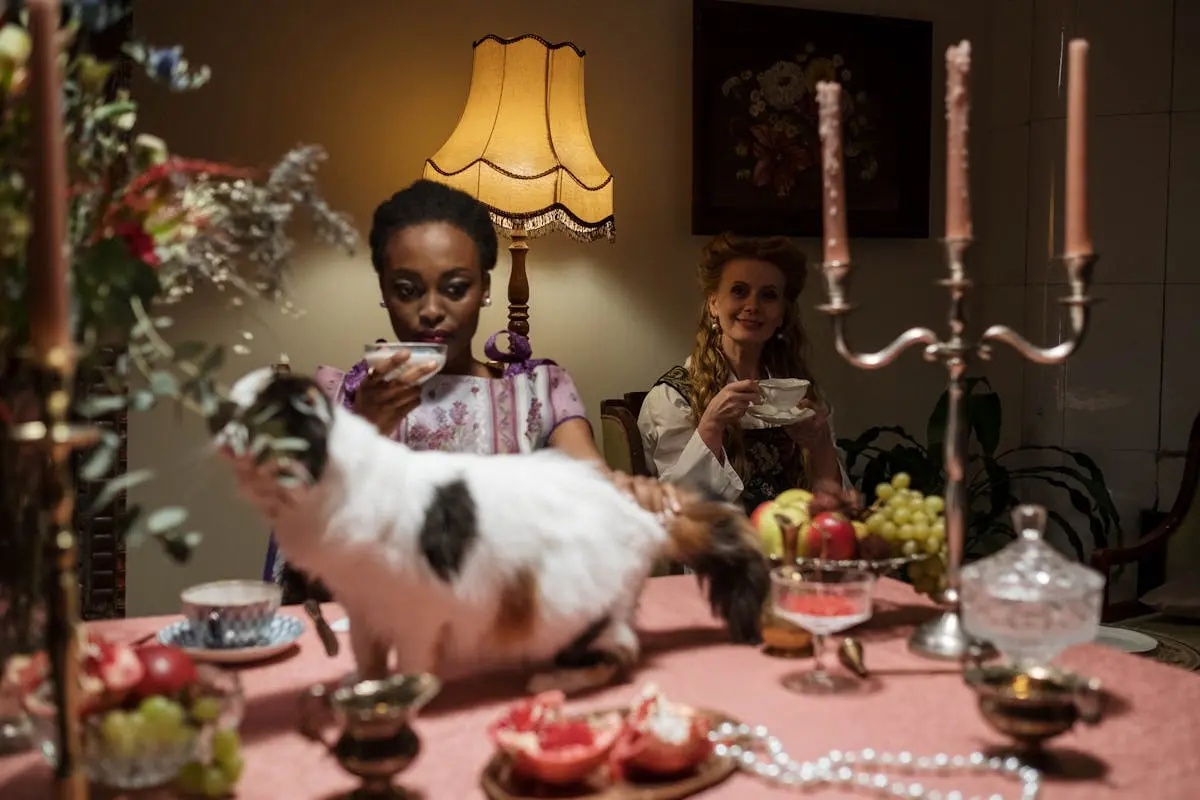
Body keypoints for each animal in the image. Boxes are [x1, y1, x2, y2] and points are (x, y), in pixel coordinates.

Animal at [214, 369, 768, 695]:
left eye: (253, 417)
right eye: (220, 413)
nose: (221, 435)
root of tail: (643, 517)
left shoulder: (416, 613)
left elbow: (413, 665)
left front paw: (410, 694)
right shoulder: (365, 608)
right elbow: (367, 659)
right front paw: (363, 686)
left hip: (573, 611)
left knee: (623, 653)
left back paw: (554, 681)